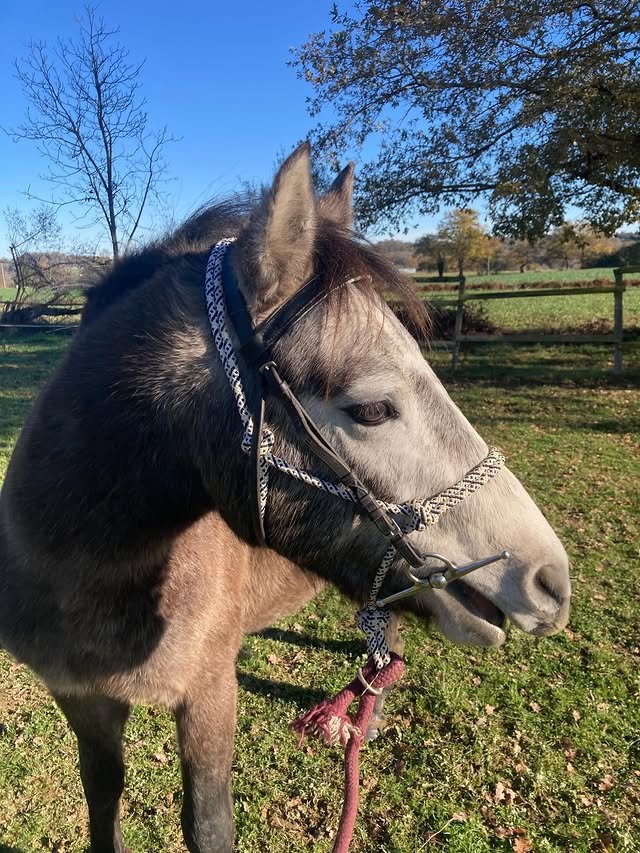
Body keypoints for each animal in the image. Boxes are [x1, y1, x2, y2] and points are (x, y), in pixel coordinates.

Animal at [0, 143, 570, 853]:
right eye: (373, 409)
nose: (549, 581)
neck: (83, 569)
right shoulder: (81, 699)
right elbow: (102, 797)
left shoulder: (210, 693)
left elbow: (207, 825)